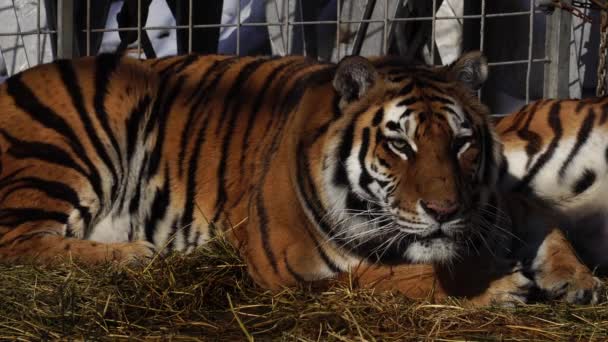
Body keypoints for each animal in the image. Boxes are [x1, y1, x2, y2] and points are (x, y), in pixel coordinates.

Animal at [0, 50, 600, 308]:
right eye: (399, 143)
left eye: (461, 142)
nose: (444, 211)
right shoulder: (291, 264)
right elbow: (395, 275)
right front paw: (498, 284)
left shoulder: (498, 204)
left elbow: (549, 226)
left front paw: (578, 279)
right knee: (15, 243)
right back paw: (133, 255)